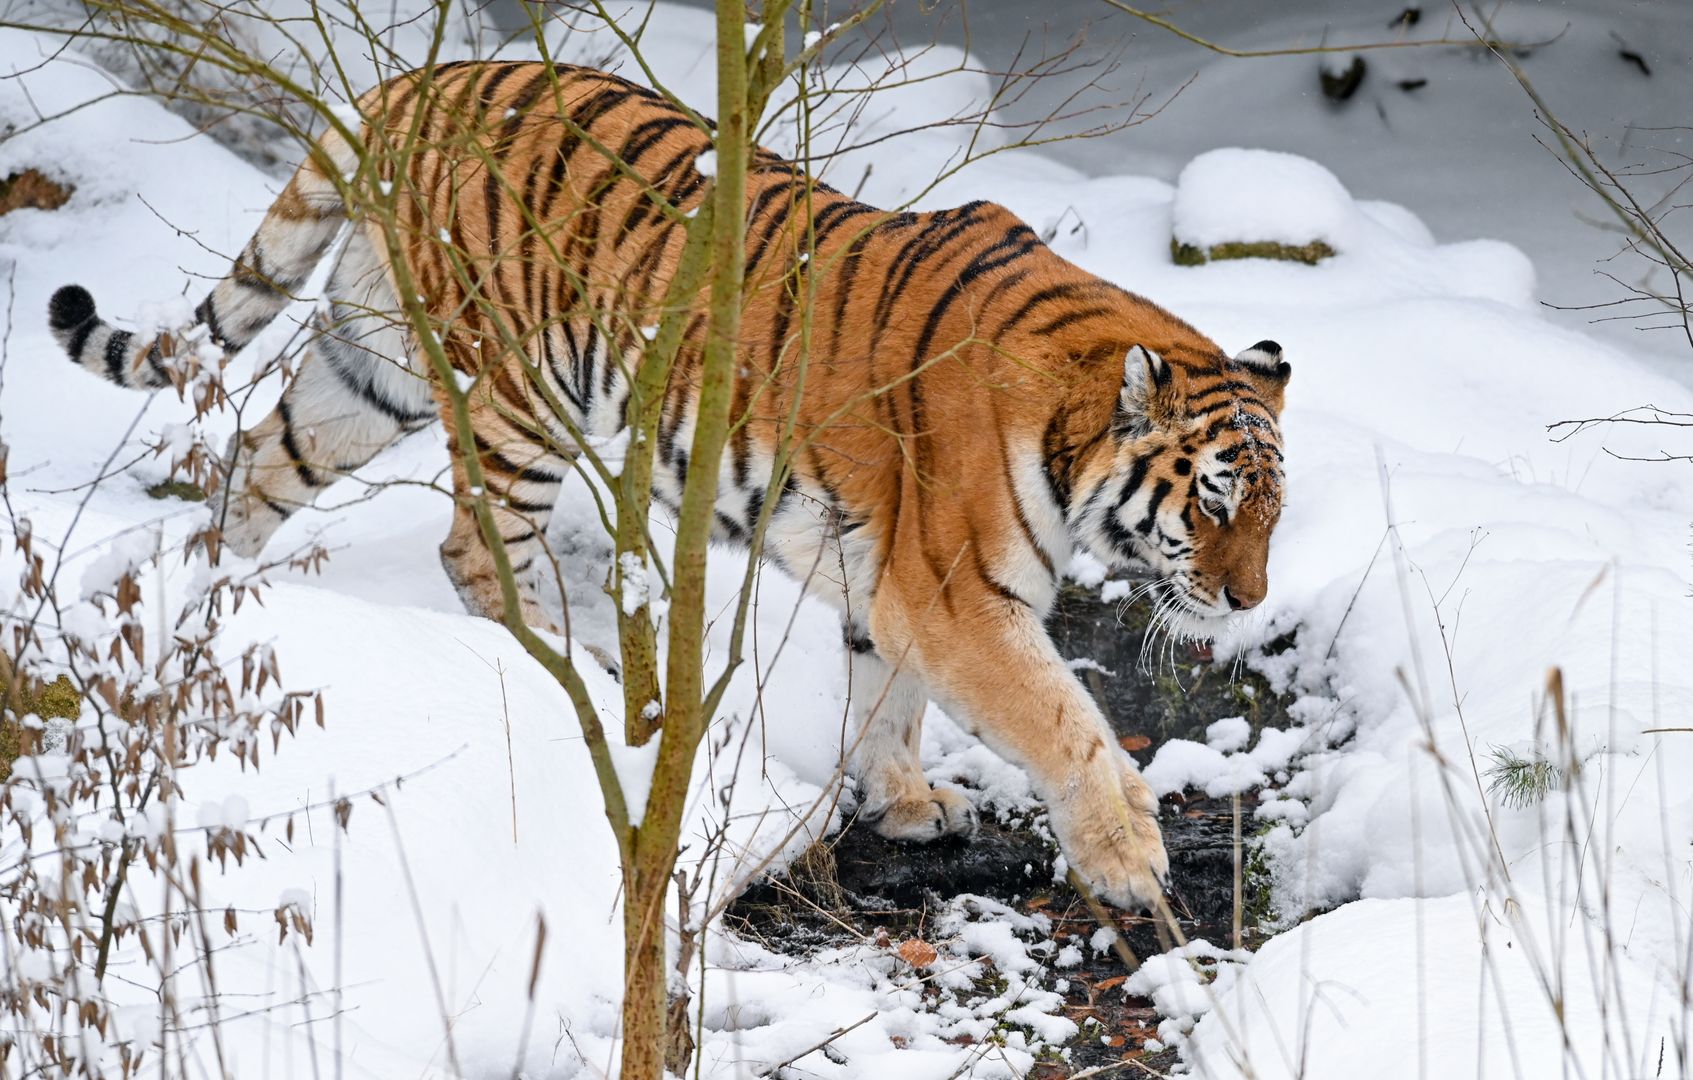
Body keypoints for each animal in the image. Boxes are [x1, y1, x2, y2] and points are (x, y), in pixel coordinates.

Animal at [49, 57, 1293, 907]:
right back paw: (582, 667)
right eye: (1213, 500)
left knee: (255, 465)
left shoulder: (888, 581)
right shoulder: (957, 596)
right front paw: (1126, 855)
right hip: (522, 392)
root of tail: (417, 80)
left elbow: (883, 697)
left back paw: (214, 609)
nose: (1250, 601)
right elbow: (1063, 721)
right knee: (472, 550)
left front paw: (902, 803)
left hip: (372, 370)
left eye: (1271, 510)